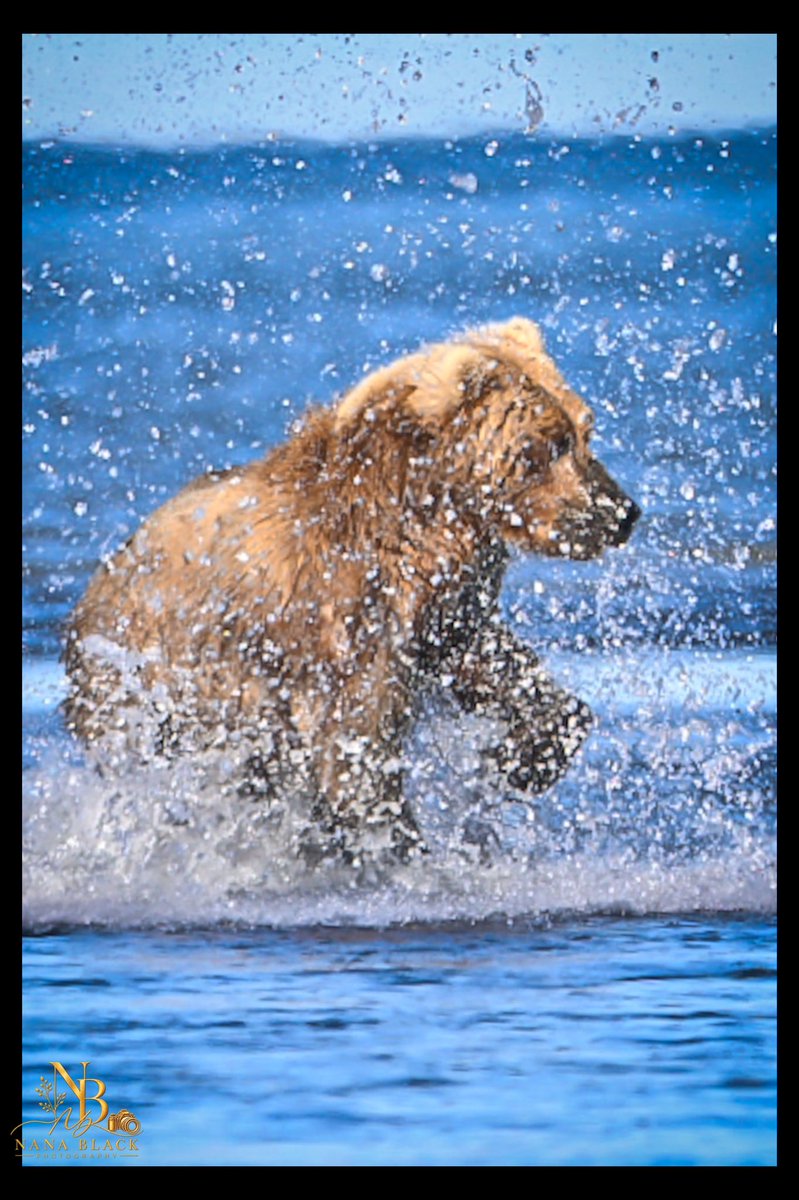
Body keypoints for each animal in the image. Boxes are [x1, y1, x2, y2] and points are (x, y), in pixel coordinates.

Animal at [64, 317, 639, 870]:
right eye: (549, 444)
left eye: (585, 430)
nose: (622, 512)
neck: (434, 509)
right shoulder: (348, 618)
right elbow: (357, 749)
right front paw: (401, 850)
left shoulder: (442, 606)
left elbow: (502, 668)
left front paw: (520, 758)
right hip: (152, 687)